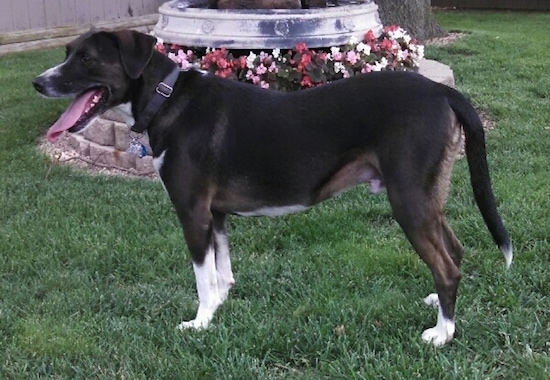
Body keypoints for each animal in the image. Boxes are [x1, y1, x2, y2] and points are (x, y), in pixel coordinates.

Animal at [33, 29, 512, 346]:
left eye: (87, 59)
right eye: (67, 53)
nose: (38, 81)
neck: (166, 99)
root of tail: (442, 92)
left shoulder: (191, 209)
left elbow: (201, 275)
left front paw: (200, 323)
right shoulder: (215, 213)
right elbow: (220, 270)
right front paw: (221, 306)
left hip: (409, 199)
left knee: (447, 265)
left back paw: (442, 334)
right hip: (427, 196)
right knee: (454, 250)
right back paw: (437, 303)